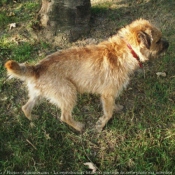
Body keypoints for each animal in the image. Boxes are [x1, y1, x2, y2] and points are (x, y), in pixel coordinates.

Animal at [5, 18, 168, 131]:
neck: (127, 50)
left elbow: (111, 105)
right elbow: (108, 112)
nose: (168, 44)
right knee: (65, 116)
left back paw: (33, 118)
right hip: (68, 93)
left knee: (26, 107)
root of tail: (37, 68)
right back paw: (78, 126)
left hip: (38, 94)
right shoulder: (107, 93)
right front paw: (101, 124)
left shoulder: (109, 94)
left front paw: (115, 108)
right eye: (158, 41)